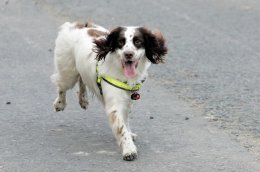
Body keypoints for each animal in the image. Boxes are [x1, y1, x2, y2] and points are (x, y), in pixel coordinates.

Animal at [50, 21, 168, 161]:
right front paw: (129, 149)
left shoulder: (128, 99)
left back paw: (83, 100)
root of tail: (77, 24)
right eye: (121, 42)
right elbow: (121, 127)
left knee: (82, 79)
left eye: (138, 41)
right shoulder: (115, 104)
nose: (128, 54)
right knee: (62, 86)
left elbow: (125, 121)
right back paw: (60, 104)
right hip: (68, 71)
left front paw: (129, 135)